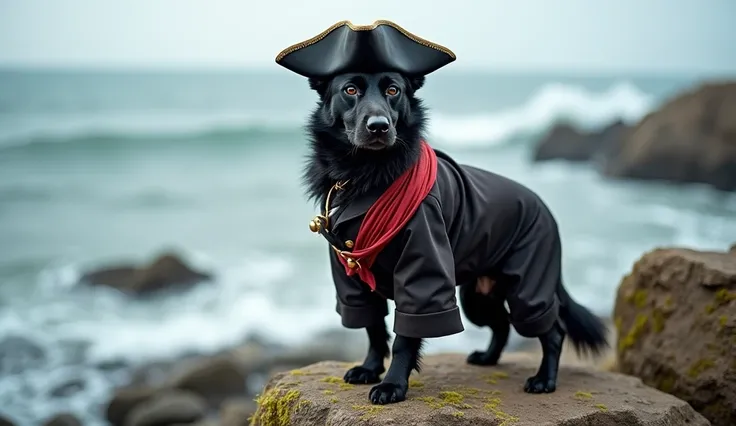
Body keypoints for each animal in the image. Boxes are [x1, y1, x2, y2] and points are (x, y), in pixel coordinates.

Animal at [300, 72, 608, 406]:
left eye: (393, 90)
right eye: (350, 90)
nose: (379, 126)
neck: (363, 174)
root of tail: (545, 209)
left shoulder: (422, 274)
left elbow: (404, 337)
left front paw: (392, 385)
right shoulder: (350, 274)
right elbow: (372, 327)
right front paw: (369, 369)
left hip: (527, 287)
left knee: (552, 331)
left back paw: (544, 380)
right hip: (478, 298)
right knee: (502, 324)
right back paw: (487, 358)